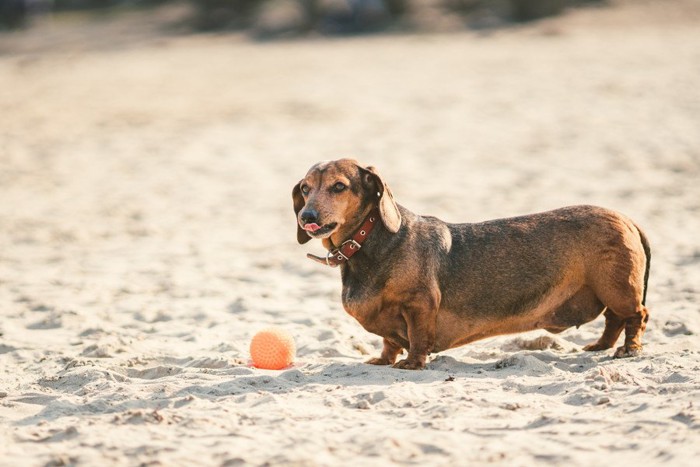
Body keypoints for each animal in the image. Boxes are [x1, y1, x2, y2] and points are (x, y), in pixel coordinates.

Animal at [292, 159, 652, 372]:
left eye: (339, 186)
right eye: (305, 189)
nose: (306, 217)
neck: (370, 241)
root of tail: (627, 219)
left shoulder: (419, 305)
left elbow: (417, 337)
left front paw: (412, 363)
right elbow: (389, 341)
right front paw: (383, 359)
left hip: (617, 288)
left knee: (636, 316)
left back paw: (628, 349)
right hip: (608, 291)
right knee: (613, 320)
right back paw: (601, 345)